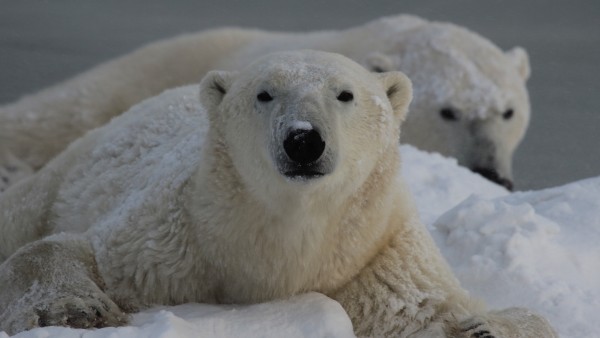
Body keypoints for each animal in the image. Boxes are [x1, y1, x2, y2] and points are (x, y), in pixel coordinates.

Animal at [0, 50, 552, 338]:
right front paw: (74, 311)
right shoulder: (175, 241)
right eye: (264, 94)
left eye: (345, 94)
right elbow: (69, 249)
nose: (304, 139)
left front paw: (486, 327)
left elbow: (430, 309)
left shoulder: (372, 255)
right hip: (64, 171)